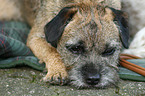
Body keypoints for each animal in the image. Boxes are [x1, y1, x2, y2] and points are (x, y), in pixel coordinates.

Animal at [0, 0, 129, 88]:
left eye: (109, 51)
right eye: (76, 48)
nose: (93, 79)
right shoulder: (35, 38)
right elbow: (51, 50)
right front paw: (58, 71)